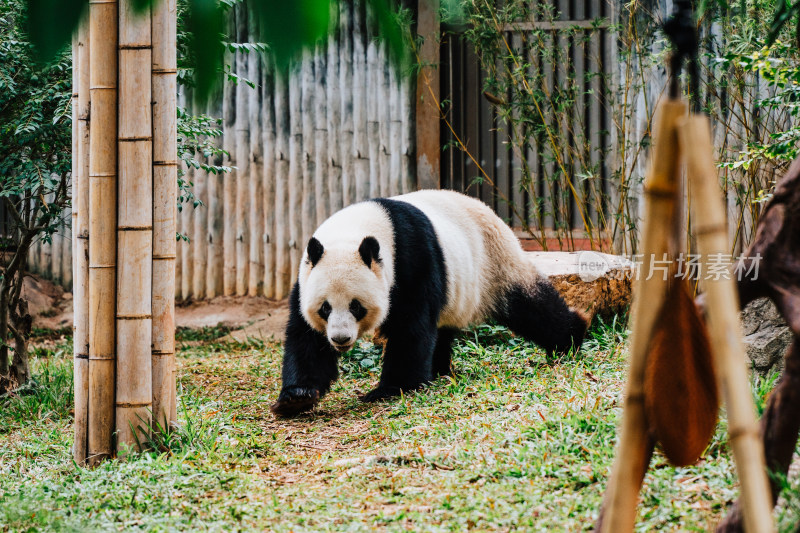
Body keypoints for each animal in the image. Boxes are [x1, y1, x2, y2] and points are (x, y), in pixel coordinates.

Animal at [268, 188, 588, 416]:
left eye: (356, 306)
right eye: (325, 307)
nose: (340, 338)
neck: (355, 231)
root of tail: (491, 212)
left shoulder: (410, 259)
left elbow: (411, 326)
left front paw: (390, 389)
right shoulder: (306, 278)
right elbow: (305, 338)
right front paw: (297, 397)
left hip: (495, 263)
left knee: (530, 307)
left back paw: (571, 338)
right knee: (442, 329)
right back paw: (439, 370)